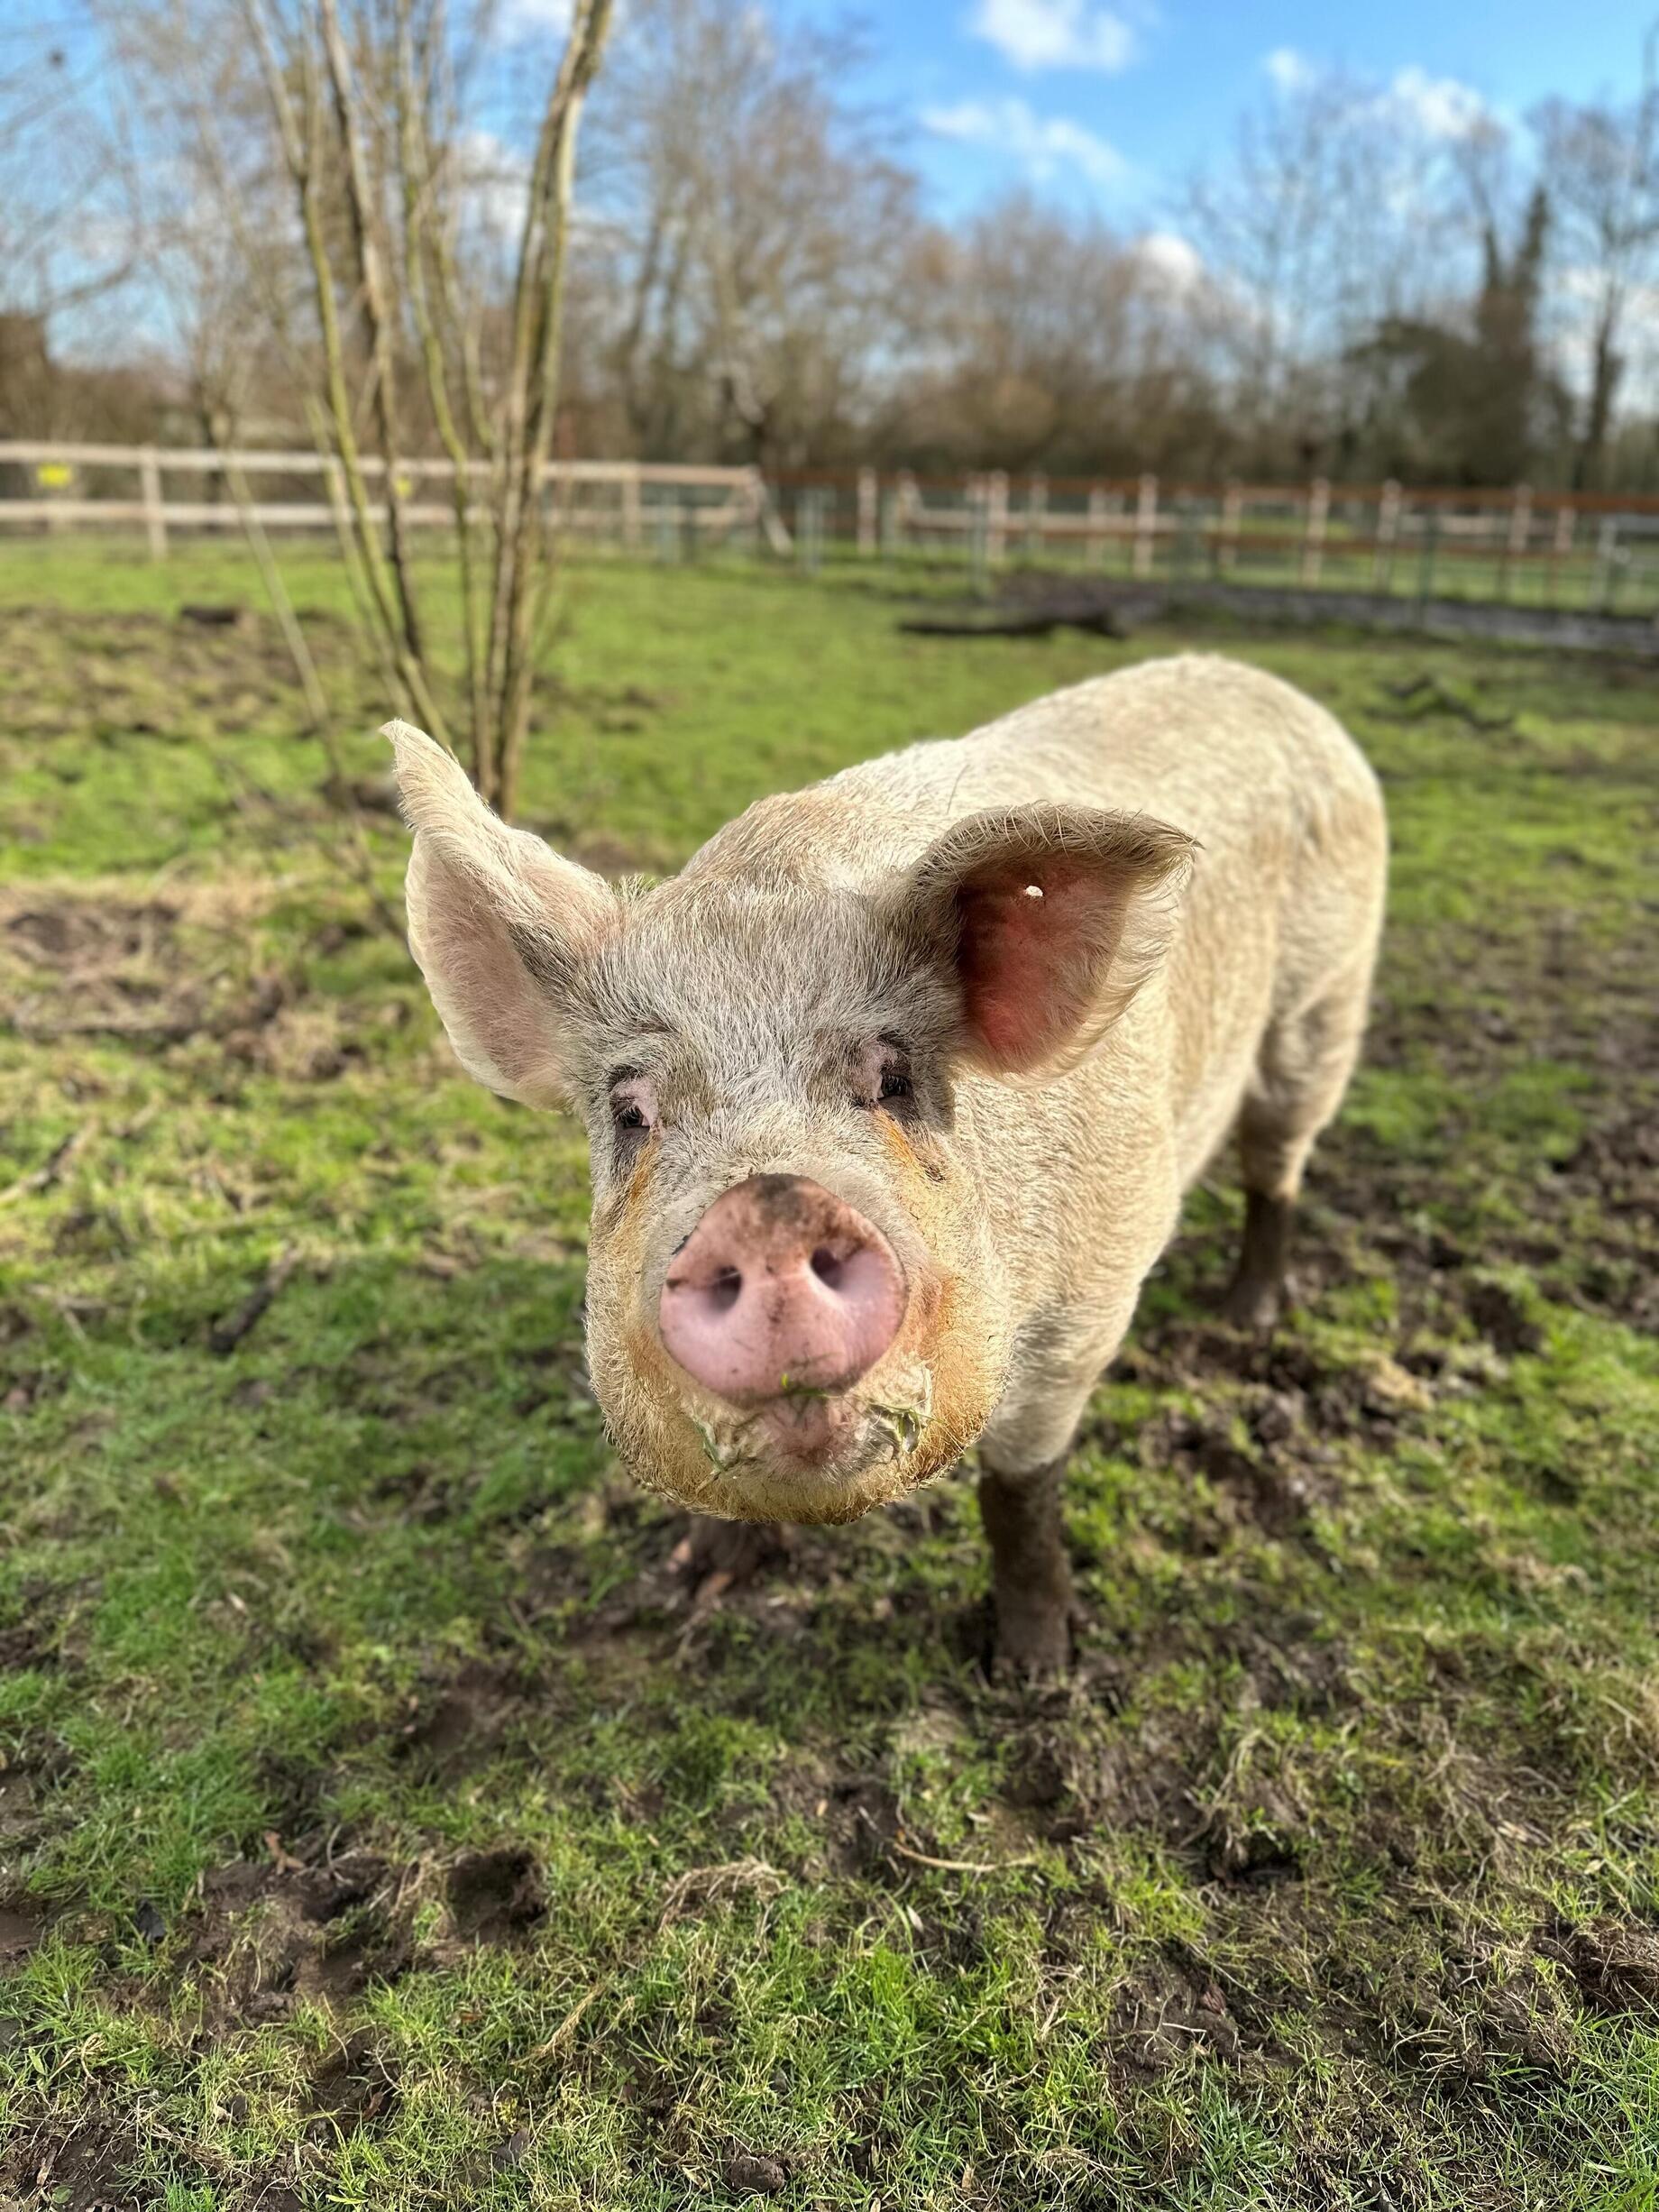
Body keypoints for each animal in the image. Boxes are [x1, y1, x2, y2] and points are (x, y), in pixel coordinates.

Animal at [389, 655, 1389, 1672]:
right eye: (631, 1111)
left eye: (893, 1077)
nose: (767, 1206)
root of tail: (1267, 683)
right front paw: (692, 1581)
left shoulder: (1095, 1290)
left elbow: (1019, 1491)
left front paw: (1035, 1670)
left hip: (1323, 1003)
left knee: (1278, 1162)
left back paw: (1248, 1317)